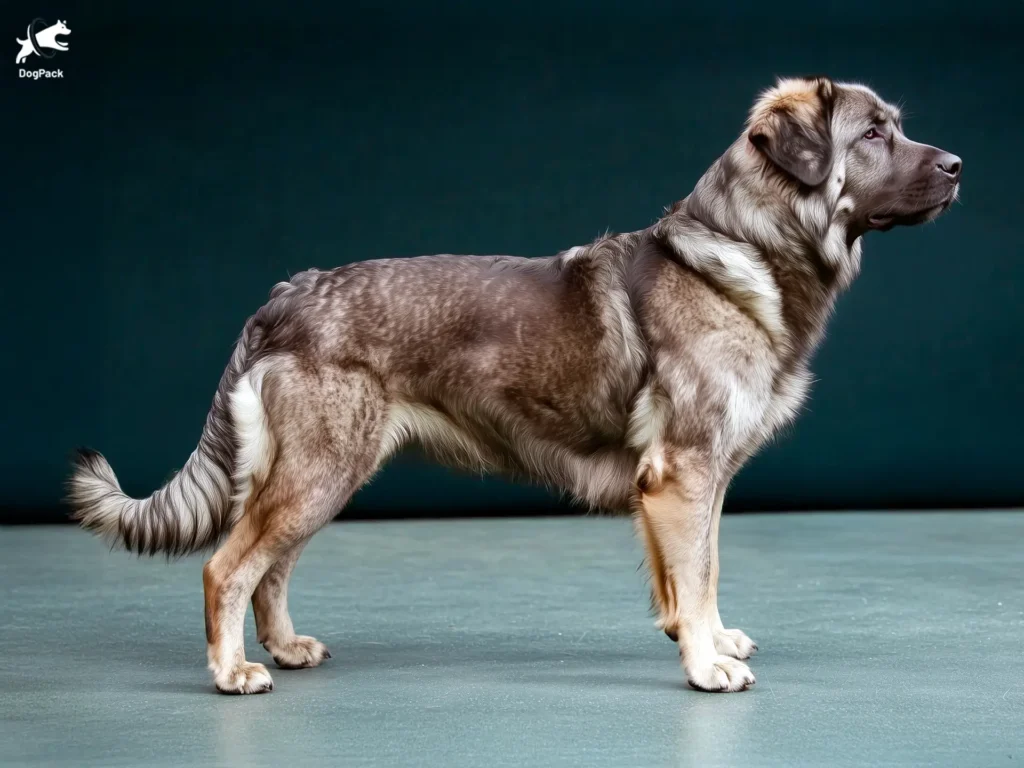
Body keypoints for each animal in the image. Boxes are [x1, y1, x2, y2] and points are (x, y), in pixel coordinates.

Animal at [70, 78, 958, 696]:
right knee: (229, 568)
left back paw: (284, 649)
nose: (957, 165)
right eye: (872, 132)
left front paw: (699, 638)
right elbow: (699, 574)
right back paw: (232, 673)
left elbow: (694, 580)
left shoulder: (689, 483)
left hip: (320, 477)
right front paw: (707, 666)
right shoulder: (685, 473)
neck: (745, 248)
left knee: (271, 571)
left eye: (895, 124)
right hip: (319, 474)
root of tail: (288, 293)